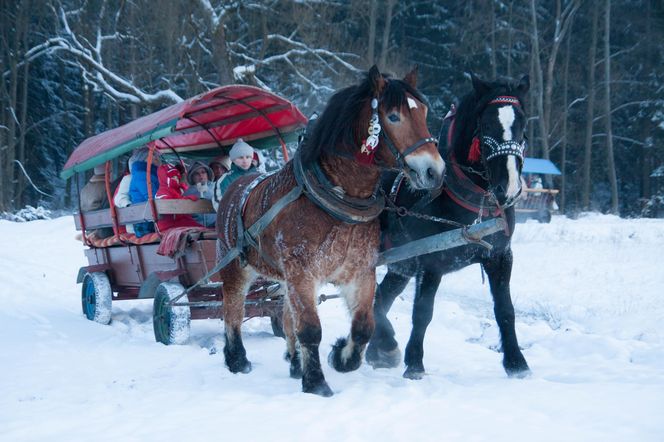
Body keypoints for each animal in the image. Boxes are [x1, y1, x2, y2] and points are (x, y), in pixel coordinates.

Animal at [218, 66, 444, 398]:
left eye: (424, 112)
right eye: (393, 117)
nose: (434, 172)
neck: (337, 200)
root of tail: (236, 185)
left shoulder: (359, 272)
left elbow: (363, 327)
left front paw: (340, 356)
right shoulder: (302, 272)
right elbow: (311, 328)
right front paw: (316, 382)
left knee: (286, 317)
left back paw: (294, 362)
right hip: (236, 266)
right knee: (232, 309)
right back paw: (237, 359)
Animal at [366, 72, 532, 380]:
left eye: (523, 124)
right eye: (487, 124)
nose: (510, 188)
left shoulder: (500, 256)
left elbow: (505, 310)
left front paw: (517, 363)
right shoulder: (431, 262)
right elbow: (423, 312)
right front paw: (414, 363)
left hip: (401, 263)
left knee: (382, 296)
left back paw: (377, 350)